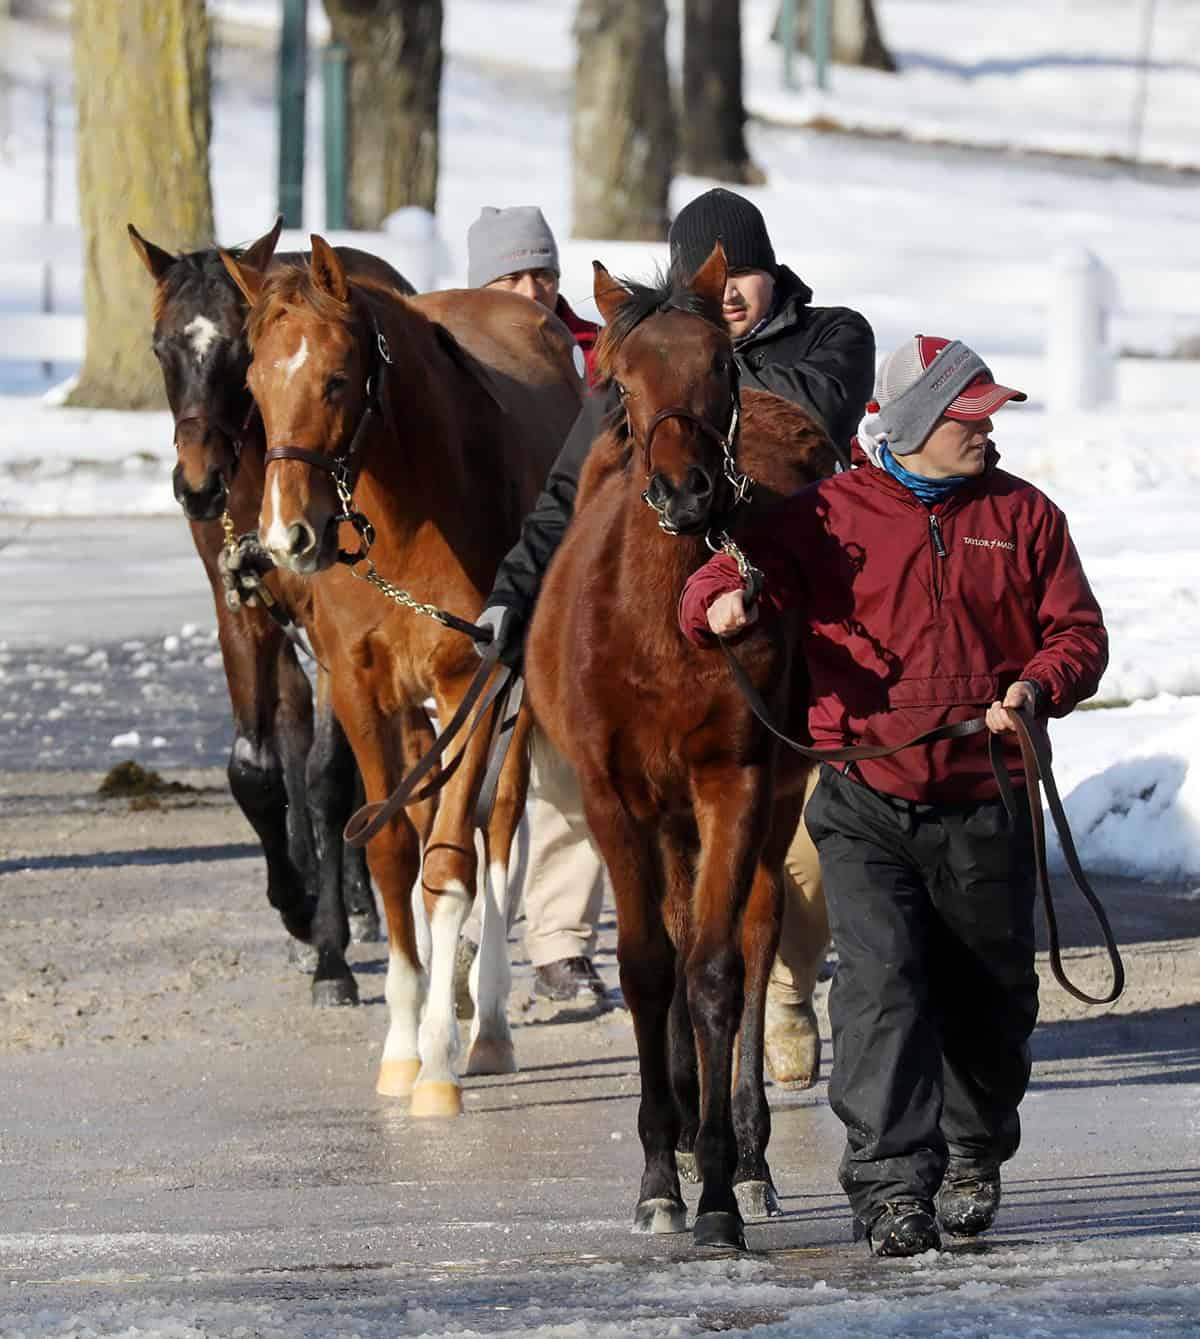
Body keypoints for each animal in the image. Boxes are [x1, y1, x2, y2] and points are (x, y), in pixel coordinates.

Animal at [129, 218, 434, 1008]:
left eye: (239, 350)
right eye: (162, 347)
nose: (197, 484)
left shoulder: (336, 621)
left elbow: (331, 773)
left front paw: (327, 942)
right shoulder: (240, 609)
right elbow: (256, 771)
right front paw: (297, 905)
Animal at [220, 233, 585, 1115]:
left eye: (336, 378)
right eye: (255, 384)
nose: (287, 536)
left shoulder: (473, 683)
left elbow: (452, 861)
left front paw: (442, 1062)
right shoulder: (362, 692)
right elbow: (391, 852)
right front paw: (402, 1041)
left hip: (509, 703)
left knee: (498, 830)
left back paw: (486, 1022)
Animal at [523, 244, 838, 1249]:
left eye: (722, 369)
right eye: (621, 381)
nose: (684, 489)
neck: (660, 626)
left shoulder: (732, 778)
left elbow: (712, 969)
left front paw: (720, 1191)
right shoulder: (613, 795)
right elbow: (648, 967)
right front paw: (663, 1173)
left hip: (774, 792)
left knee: (754, 931)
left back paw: (745, 1153)